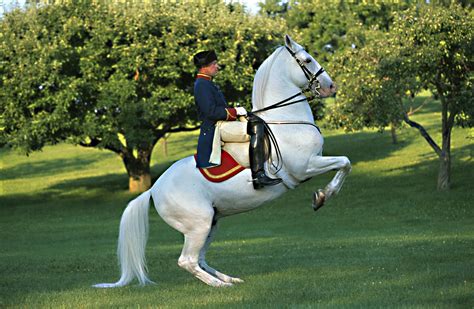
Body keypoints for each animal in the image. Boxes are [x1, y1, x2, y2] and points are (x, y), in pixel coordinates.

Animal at [93, 35, 352, 288]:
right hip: (199, 224)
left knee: (200, 259)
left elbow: (344, 164)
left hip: (212, 223)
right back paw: (220, 285)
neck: (286, 120)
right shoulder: (306, 166)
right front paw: (322, 196)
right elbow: (345, 162)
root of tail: (154, 189)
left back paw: (229, 278)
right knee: (187, 260)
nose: (330, 86)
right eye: (307, 60)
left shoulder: (310, 164)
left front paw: (321, 196)